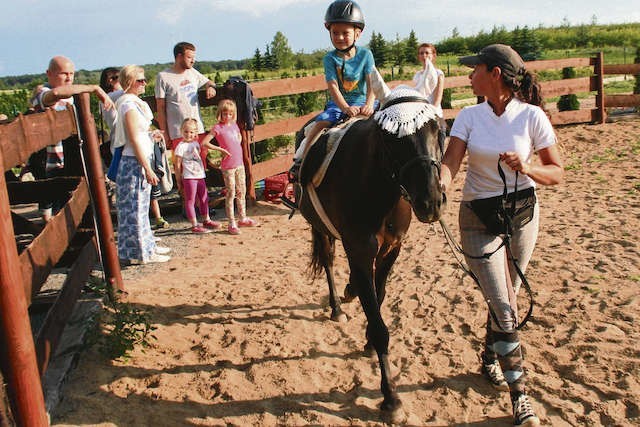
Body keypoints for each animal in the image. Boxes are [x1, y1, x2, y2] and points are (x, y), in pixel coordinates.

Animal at [296, 88, 444, 422]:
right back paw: (338, 306)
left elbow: (380, 295)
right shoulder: (360, 251)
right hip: (320, 228)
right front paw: (391, 399)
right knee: (328, 261)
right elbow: (379, 328)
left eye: (438, 130)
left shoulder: (391, 250)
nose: (430, 201)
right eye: (392, 139)